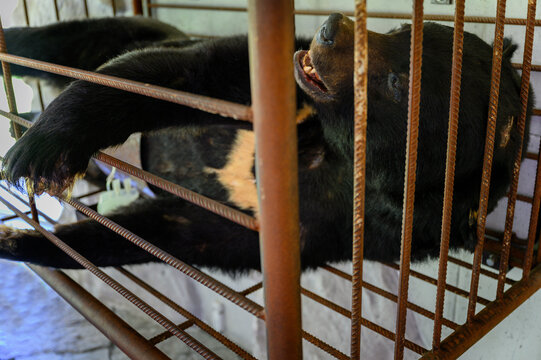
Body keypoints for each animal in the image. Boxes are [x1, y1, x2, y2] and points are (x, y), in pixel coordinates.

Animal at [0, 15, 532, 272]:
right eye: (403, 27)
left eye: (398, 83)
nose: (331, 28)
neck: (330, 153)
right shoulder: (271, 85)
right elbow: (179, 73)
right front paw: (43, 149)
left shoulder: (329, 231)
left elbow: (175, 235)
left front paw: (21, 240)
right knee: (58, 43)